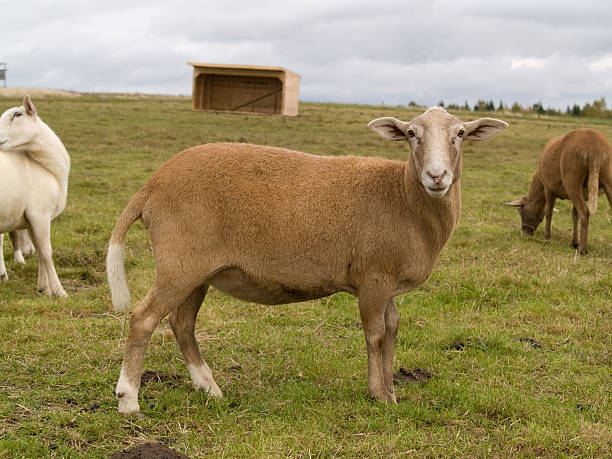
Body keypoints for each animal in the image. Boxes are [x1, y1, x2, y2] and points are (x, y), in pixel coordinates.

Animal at [0, 97, 70, 298]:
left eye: (17, 114)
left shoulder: (32, 218)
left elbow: (39, 251)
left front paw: (43, 288)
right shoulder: (40, 213)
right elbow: (46, 252)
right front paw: (59, 291)